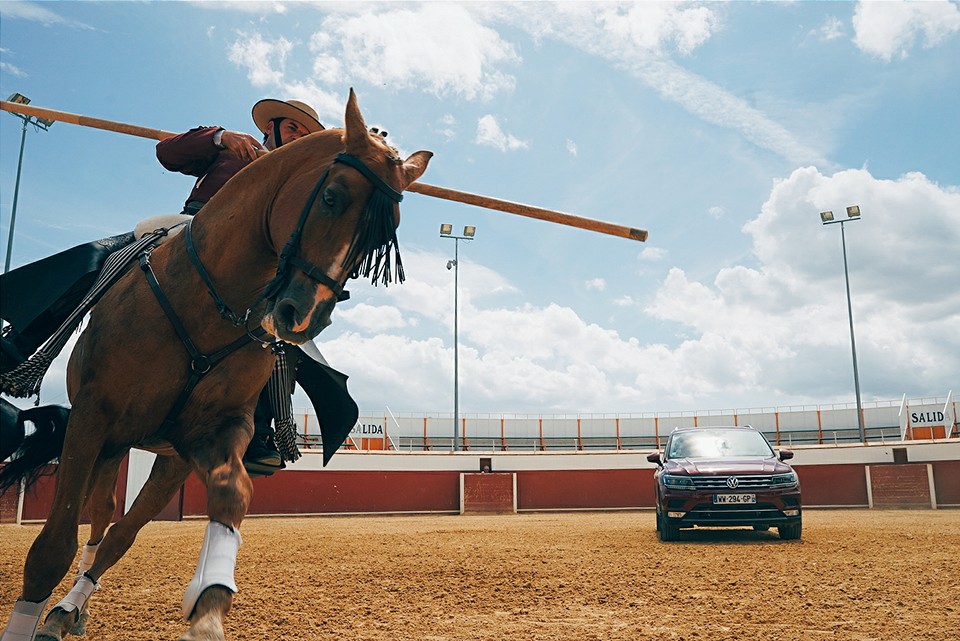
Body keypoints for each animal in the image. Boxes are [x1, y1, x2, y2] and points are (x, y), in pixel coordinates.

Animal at [0, 90, 428, 640]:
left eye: (381, 240)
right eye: (331, 197)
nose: (303, 316)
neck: (209, 299)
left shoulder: (214, 432)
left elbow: (231, 496)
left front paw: (207, 610)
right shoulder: (94, 415)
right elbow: (51, 546)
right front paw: (231, 140)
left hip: (159, 457)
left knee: (116, 531)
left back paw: (71, 609)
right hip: (110, 440)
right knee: (98, 518)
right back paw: (63, 611)